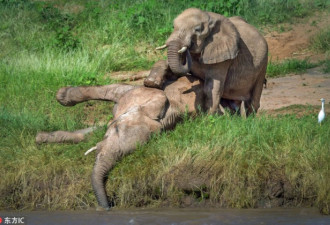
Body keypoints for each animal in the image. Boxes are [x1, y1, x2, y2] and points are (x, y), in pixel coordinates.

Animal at [36, 74, 242, 210]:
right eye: (117, 130)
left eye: (128, 154)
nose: (108, 206)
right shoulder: (142, 92)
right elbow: (113, 92)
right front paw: (61, 98)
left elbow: (94, 131)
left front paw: (40, 138)